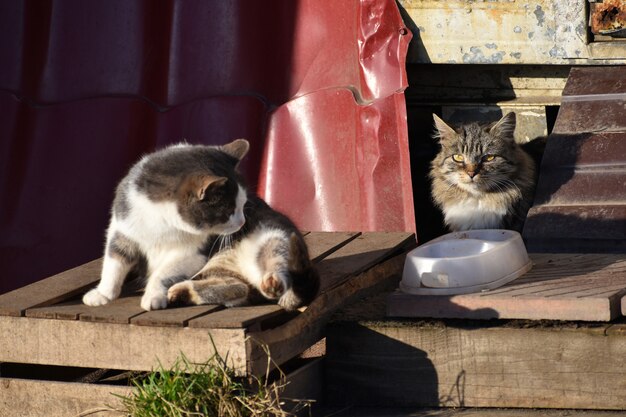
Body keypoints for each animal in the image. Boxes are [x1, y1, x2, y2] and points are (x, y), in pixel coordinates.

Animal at [83, 138, 316, 310]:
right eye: (229, 211)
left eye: (244, 205)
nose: (242, 223)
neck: (162, 224)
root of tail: (252, 276)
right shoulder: (122, 232)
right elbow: (113, 264)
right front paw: (103, 294)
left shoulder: (191, 253)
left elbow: (163, 273)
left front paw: (153, 296)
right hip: (223, 273)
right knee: (236, 287)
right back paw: (183, 292)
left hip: (275, 239)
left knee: (277, 265)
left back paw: (273, 282)